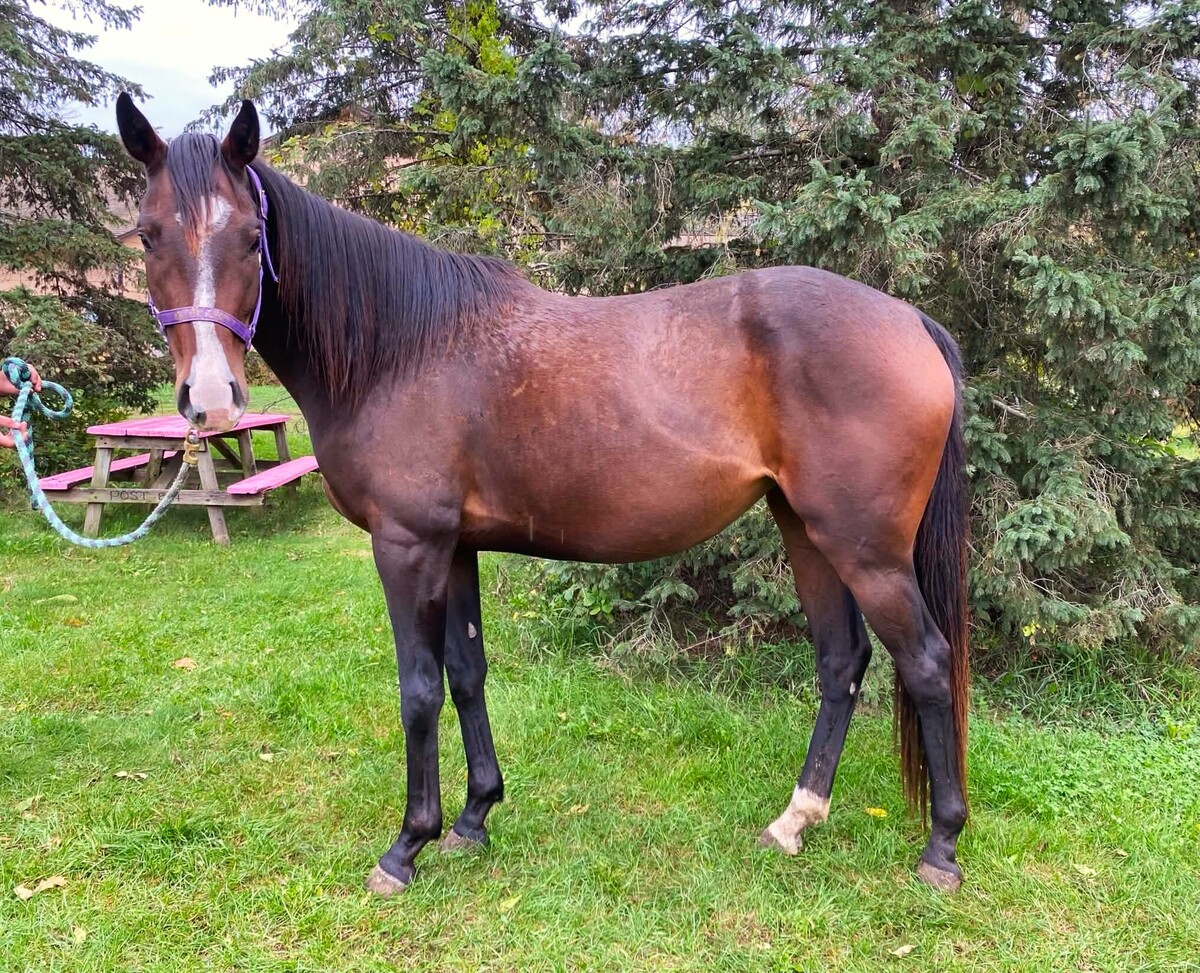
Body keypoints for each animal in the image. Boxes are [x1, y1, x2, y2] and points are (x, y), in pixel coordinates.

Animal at [115, 93, 971, 895]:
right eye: (149, 234)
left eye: (250, 236)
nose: (212, 398)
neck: (401, 347)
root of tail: (910, 319)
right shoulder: (456, 547)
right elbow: (466, 672)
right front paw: (473, 817)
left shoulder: (407, 546)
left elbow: (418, 689)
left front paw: (407, 845)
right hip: (806, 529)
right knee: (842, 661)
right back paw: (794, 820)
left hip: (865, 548)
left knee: (927, 662)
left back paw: (941, 847)